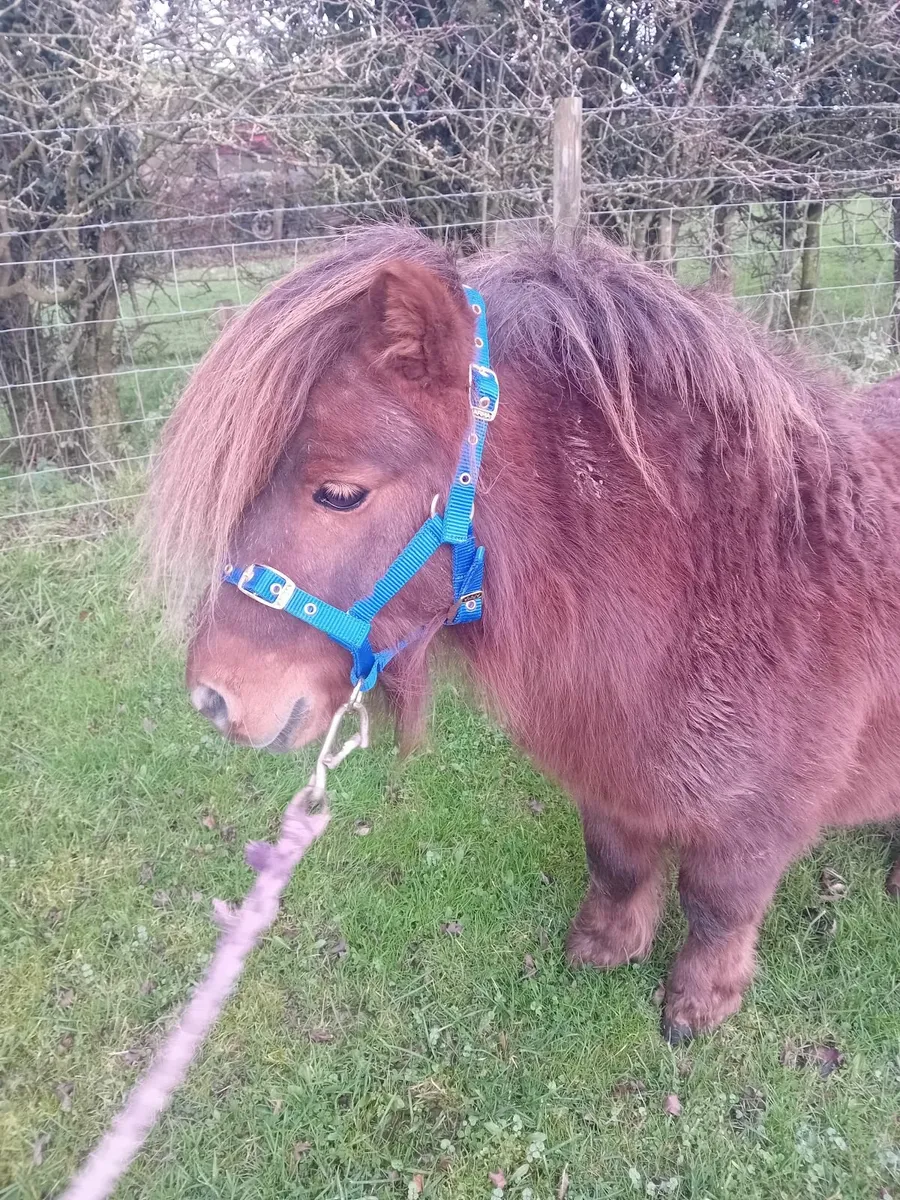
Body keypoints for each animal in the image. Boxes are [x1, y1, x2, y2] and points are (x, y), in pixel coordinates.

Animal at [148, 224, 900, 1041]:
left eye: (340, 493)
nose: (216, 697)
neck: (729, 581)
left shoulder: (753, 826)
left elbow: (716, 909)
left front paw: (697, 1004)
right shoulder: (610, 779)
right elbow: (617, 864)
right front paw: (605, 946)